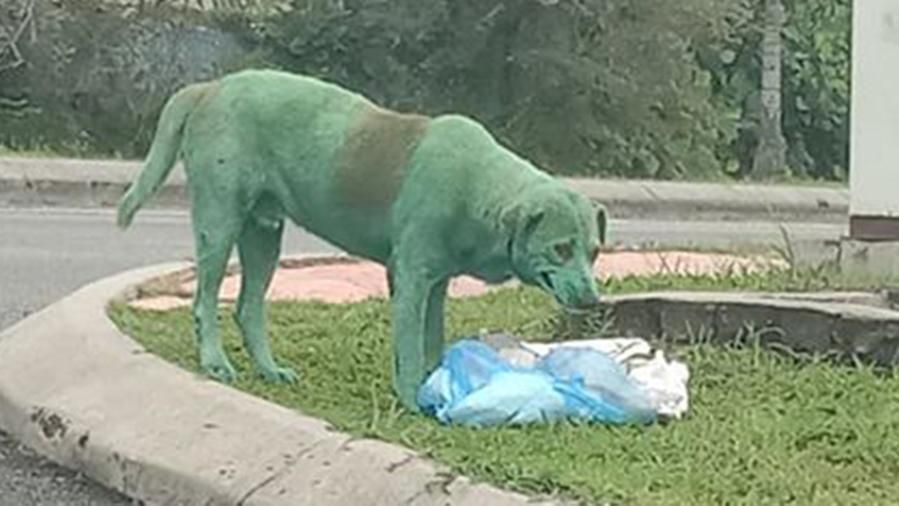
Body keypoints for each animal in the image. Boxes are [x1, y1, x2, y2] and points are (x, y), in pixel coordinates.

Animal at [119, 69, 608, 410]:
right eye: (560, 249)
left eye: (594, 253)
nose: (592, 300)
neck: (478, 190)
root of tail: (210, 87)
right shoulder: (410, 280)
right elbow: (409, 346)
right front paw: (413, 400)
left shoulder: (436, 285)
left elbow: (432, 341)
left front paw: (438, 386)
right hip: (219, 221)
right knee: (205, 300)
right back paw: (214, 362)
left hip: (263, 234)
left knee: (247, 306)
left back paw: (270, 369)